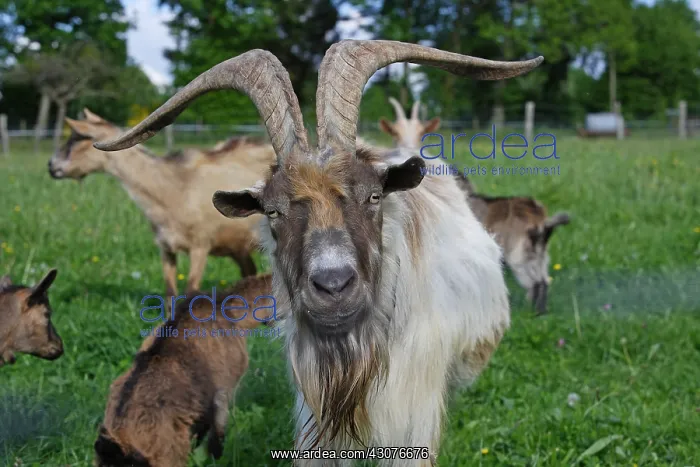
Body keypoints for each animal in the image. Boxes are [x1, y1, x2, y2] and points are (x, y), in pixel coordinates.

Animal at [48, 108, 276, 299]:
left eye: (79, 138)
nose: (51, 166)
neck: (172, 189)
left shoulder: (200, 245)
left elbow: (190, 292)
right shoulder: (165, 248)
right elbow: (169, 295)